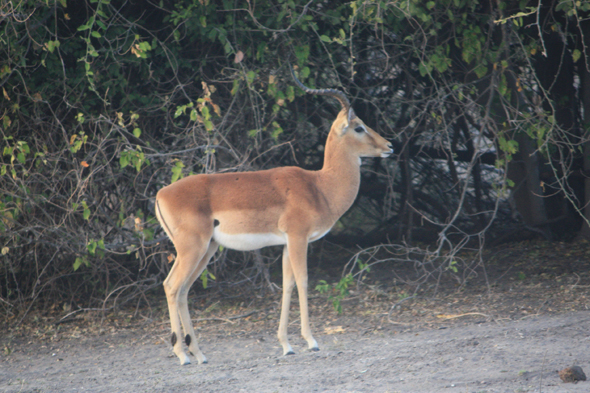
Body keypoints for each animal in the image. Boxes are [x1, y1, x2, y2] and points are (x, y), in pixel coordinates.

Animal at [155, 67, 396, 364]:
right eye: (359, 127)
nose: (389, 146)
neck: (320, 186)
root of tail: (160, 194)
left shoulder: (285, 243)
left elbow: (287, 285)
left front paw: (286, 344)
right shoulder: (298, 238)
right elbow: (303, 282)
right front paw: (311, 341)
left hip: (206, 249)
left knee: (183, 290)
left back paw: (199, 354)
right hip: (192, 249)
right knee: (171, 286)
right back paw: (183, 355)